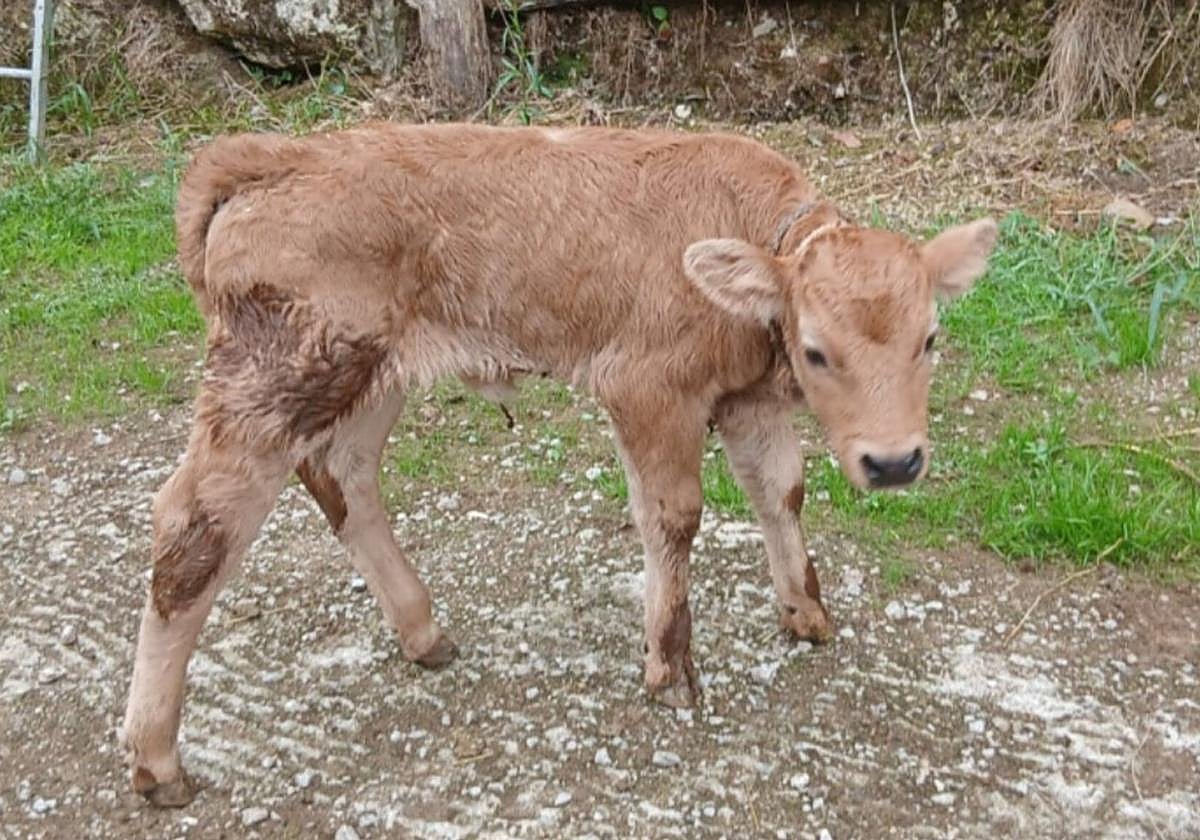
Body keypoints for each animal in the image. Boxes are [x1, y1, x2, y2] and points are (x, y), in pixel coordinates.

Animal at [120, 123, 997, 806]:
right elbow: (674, 516)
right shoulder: (649, 389)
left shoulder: (748, 398)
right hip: (274, 376)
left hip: (370, 375)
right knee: (193, 525)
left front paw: (806, 614)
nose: (894, 461)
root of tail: (278, 158)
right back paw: (157, 761)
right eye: (816, 350)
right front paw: (669, 669)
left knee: (344, 477)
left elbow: (780, 490)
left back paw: (423, 632)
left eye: (930, 338)